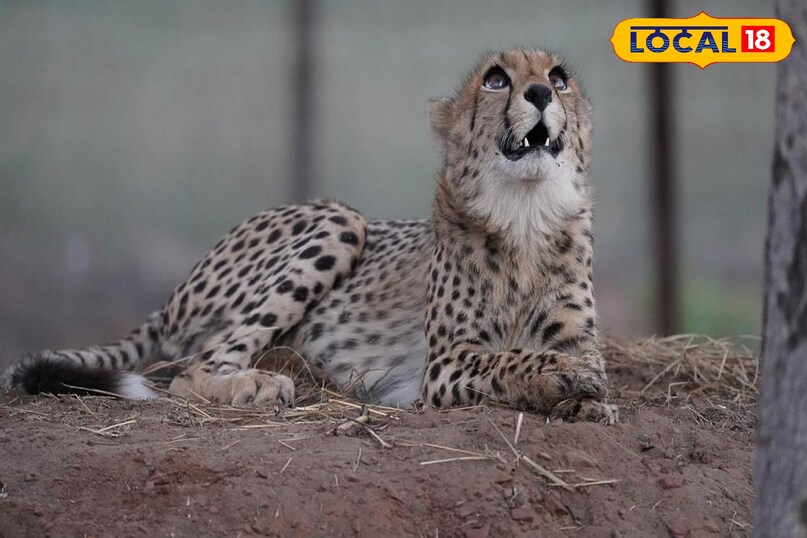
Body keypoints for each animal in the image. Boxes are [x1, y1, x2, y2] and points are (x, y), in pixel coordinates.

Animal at [3, 48, 617, 423]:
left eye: (559, 78)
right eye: (496, 79)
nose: (540, 93)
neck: (525, 213)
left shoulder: (574, 338)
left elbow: (579, 374)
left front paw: (584, 398)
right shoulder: (444, 364)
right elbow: (512, 360)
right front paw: (561, 378)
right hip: (340, 220)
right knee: (190, 368)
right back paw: (255, 384)